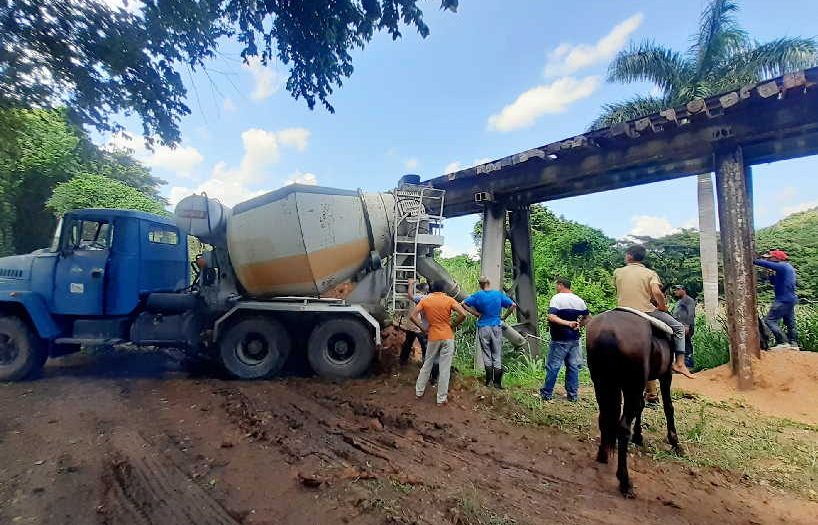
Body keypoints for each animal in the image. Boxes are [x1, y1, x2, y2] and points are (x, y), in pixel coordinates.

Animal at [588, 310, 684, 498]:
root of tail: (607, 330)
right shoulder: (666, 375)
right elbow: (668, 407)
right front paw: (675, 442)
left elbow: (641, 406)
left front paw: (638, 436)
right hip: (630, 385)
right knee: (622, 427)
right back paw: (625, 482)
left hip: (602, 383)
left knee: (604, 419)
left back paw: (603, 455)